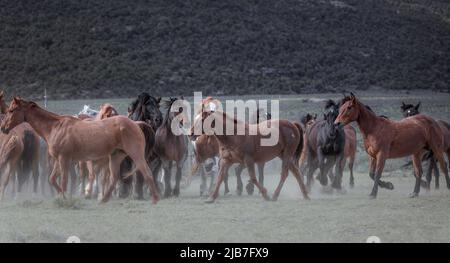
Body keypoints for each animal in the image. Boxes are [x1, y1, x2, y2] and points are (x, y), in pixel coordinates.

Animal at [0, 97, 160, 204]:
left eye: (12, 110)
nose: (3, 128)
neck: (55, 126)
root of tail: (135, 123)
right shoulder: (58, 160)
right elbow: (52, 179)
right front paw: (62, 195)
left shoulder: (64, 159)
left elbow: (64, 180)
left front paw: (65, 199)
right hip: (115, 157)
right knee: (113, 178)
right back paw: (103, 200)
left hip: (136, 155)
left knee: (147, 173)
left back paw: (154, 199)